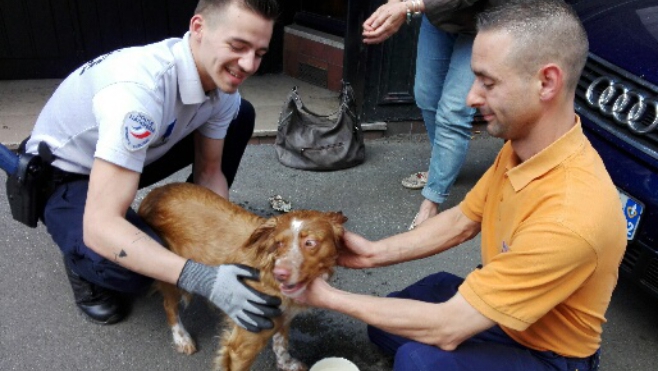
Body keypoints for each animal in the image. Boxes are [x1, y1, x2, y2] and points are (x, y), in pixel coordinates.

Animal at [136, 184, 346, 371]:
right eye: (278, 243)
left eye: (310, 243)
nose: (280, 274)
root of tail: (153, 194)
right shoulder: (242, 346)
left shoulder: (284, 315)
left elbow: (281, 342)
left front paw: (286, 363)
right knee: (169, 306)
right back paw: (182, 338)